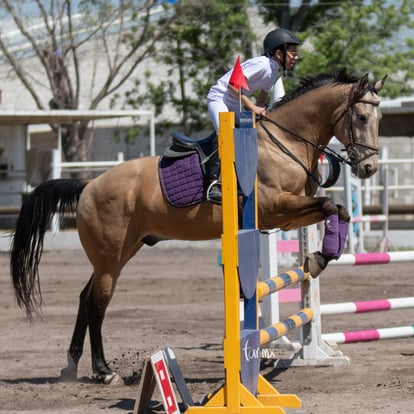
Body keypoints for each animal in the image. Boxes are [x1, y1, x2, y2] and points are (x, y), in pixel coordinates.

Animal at [8, 69, 384, 384]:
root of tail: (88, 185)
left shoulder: (292, 214)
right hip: (110, 257)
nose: (368, 169)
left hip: (121, 252)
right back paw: (104, 371)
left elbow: (336, 211)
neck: (285, 143)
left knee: (86, 297)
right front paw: (318, 259)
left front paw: (319, 257)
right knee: (97, 303)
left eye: (379, 118)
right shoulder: (276, 209)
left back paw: (71, 366)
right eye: (362, 117)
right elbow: (330, 206)